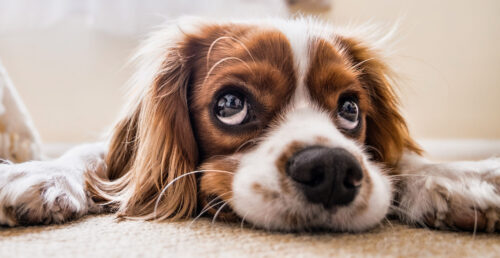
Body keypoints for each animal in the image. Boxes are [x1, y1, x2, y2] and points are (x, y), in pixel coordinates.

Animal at [0, 17, 500, 232]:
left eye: (350, 109)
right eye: (230, 104)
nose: (333, 170)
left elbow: (401, 161)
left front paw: (456, 179)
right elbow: (90, 155)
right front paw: (39, 174)